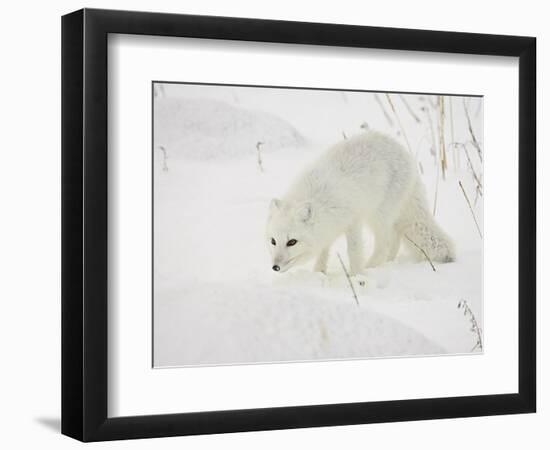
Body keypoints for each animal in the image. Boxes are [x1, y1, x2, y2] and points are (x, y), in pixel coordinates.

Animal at [268, 130, 458, 276]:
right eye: (273, 241)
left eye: (292, 242)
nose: (275, 267)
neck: (318, 197)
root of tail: (403, 150)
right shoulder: (328, 228)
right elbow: (324, 252)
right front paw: (318, 273)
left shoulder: (353, 221)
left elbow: (354, 251)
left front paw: (356, 276)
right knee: (394, 238)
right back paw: (387, 262)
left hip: (378, 215)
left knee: (385, 243)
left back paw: (372, 268)